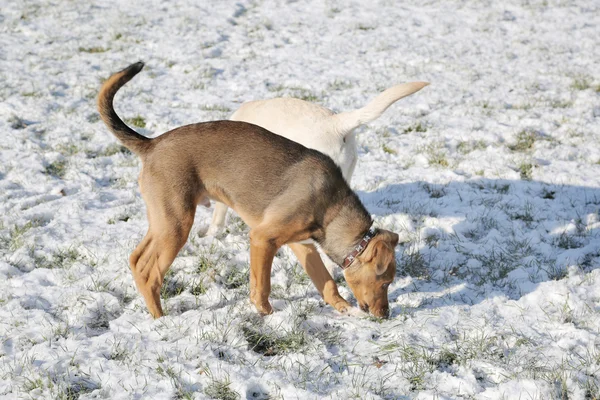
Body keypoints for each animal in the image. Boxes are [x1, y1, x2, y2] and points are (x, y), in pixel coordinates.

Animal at [97, 62, 398, 318]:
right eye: (385, 281)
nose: (385, 315)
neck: (331, 207)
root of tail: (152, 144)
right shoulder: (263, 239)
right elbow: (261, 285)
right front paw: (267, 314)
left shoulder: (302, 245)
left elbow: (326, 283)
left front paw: (344, 309)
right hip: (176, 224)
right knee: (151, 274)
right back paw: (161, 319)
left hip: (162, 221)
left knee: (137, 260)